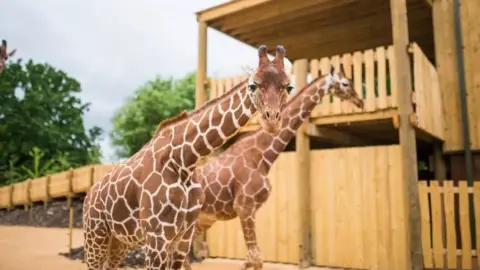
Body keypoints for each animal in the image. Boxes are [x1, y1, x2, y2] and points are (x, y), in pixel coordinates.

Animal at [81, 44, 292, 270]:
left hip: (119, 242)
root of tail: (88, 195)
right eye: (253, 85)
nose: (272, 120)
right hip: (96, 237)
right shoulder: (157, 236)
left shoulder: (183, 236)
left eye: (289, 86)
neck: (184, 161)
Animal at [187, 64, 364, 268]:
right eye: (345, 83)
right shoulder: (244, 207)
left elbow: (251, 260)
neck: (263, 156)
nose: (360, 101)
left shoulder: (249, 210)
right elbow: (256, 259)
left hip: (203, 220)